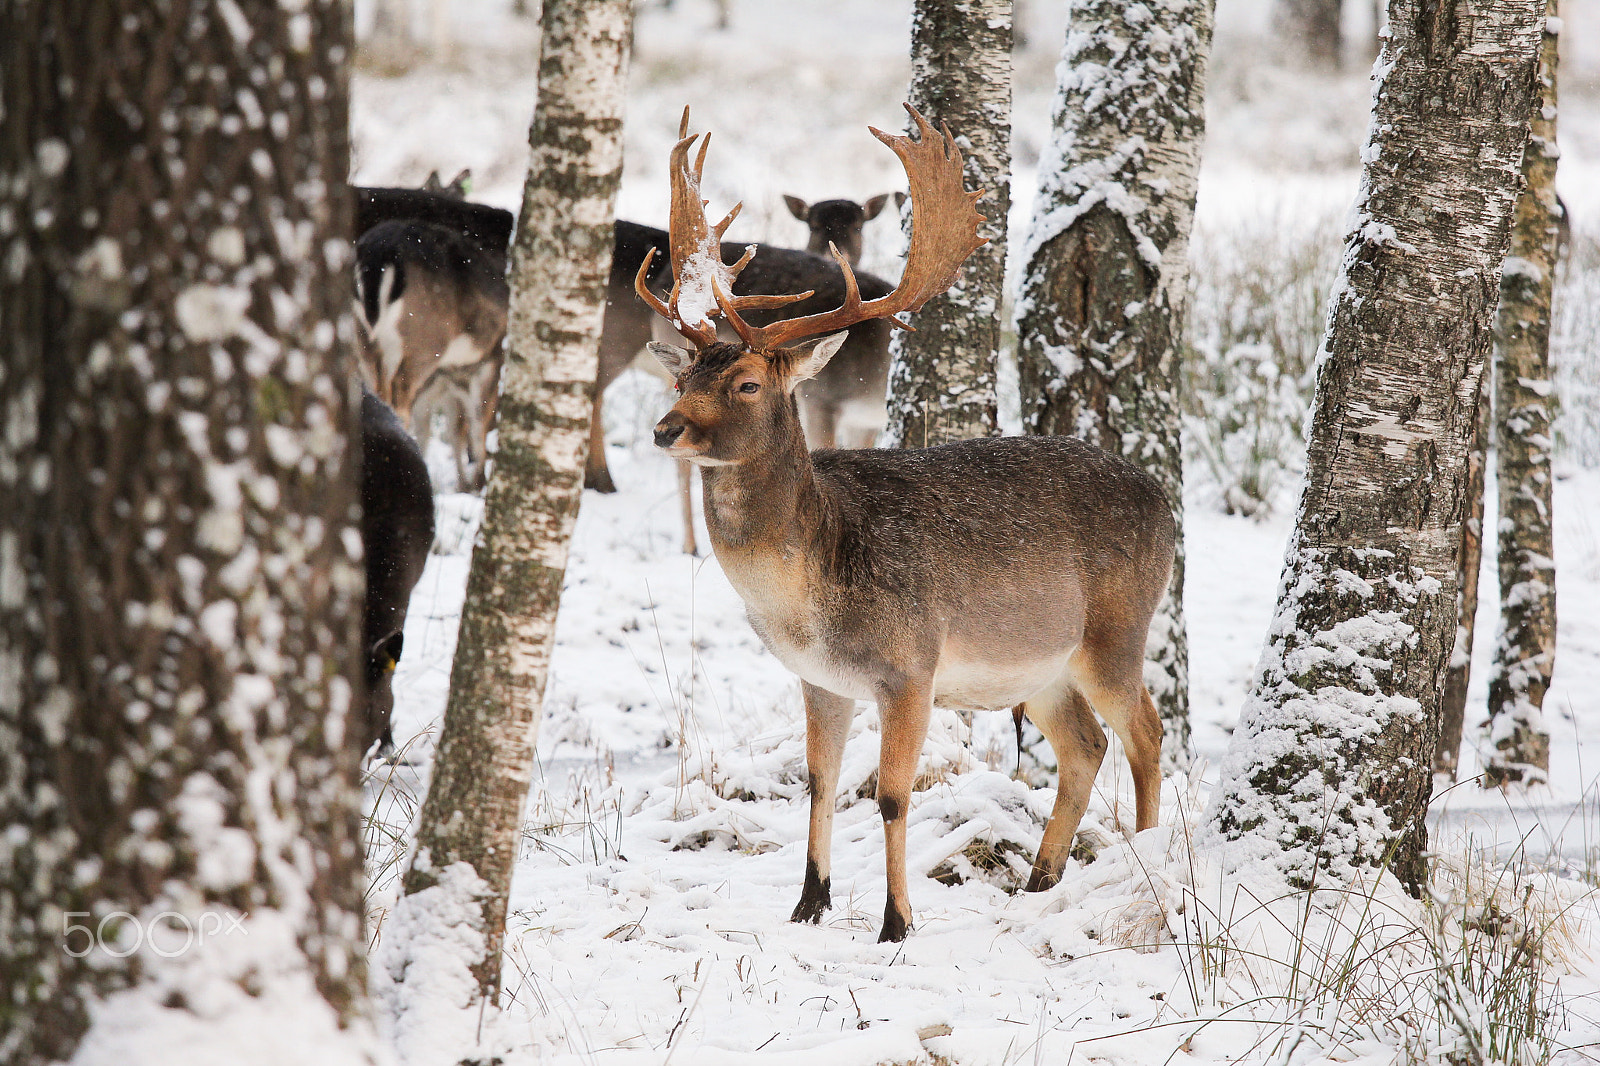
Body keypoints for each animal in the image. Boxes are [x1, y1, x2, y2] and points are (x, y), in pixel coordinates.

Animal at [640, 108, 1177, 941]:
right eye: (683, 377)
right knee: (1086, 746)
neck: (810, 590)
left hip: (1116, 628)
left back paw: (1140, 865)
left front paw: (897, 923)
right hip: (1041, 665)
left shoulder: (912, 667)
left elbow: (892, 796)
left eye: (748, 383)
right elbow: (820, 784)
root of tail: (1166, 501)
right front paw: (808, 905)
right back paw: (1039, 881)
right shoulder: (820, 680)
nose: (667, 429)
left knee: (1146, 736)